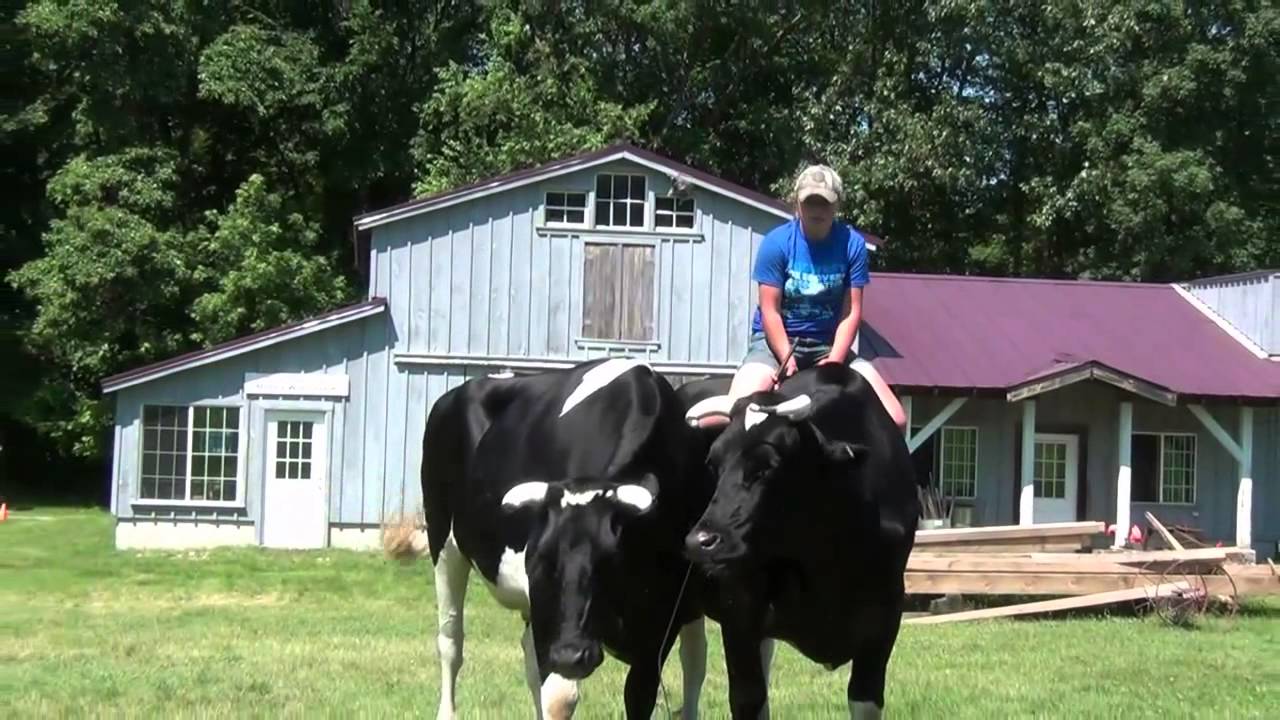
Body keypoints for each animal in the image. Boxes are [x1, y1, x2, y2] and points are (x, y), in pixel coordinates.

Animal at [386, 358, 713, 720]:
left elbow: (640, 695)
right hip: (443, 541)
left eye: (611, 560)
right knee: (450, 641)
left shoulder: (661, 623)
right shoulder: (549, 617)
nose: (572, 655)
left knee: (693, 659)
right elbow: (558, 698)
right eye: (540, 559)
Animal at [681, 362, 920, 719]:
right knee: (693, 663)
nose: (701, 540)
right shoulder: (738, 610)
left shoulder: (886, 616)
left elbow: (864, 698)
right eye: (713, 463)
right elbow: (747, 697)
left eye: (767, 467)